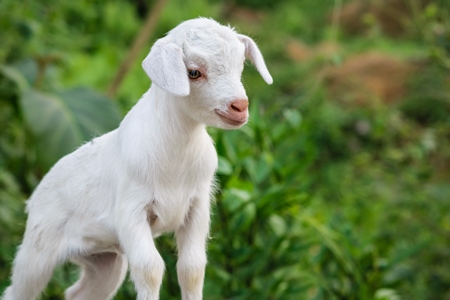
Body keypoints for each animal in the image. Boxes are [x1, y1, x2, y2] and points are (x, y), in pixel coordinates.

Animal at [1, 17, 272, 300]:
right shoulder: (131, 210)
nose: (240, 107)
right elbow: (149, 268)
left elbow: (192, 269)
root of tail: (34, 197)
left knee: (79, 292)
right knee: (18, 289)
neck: (176, 154)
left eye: (240, 66)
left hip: (105, 259)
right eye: (193, 73)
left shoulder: (197, 206)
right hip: (39, 248)